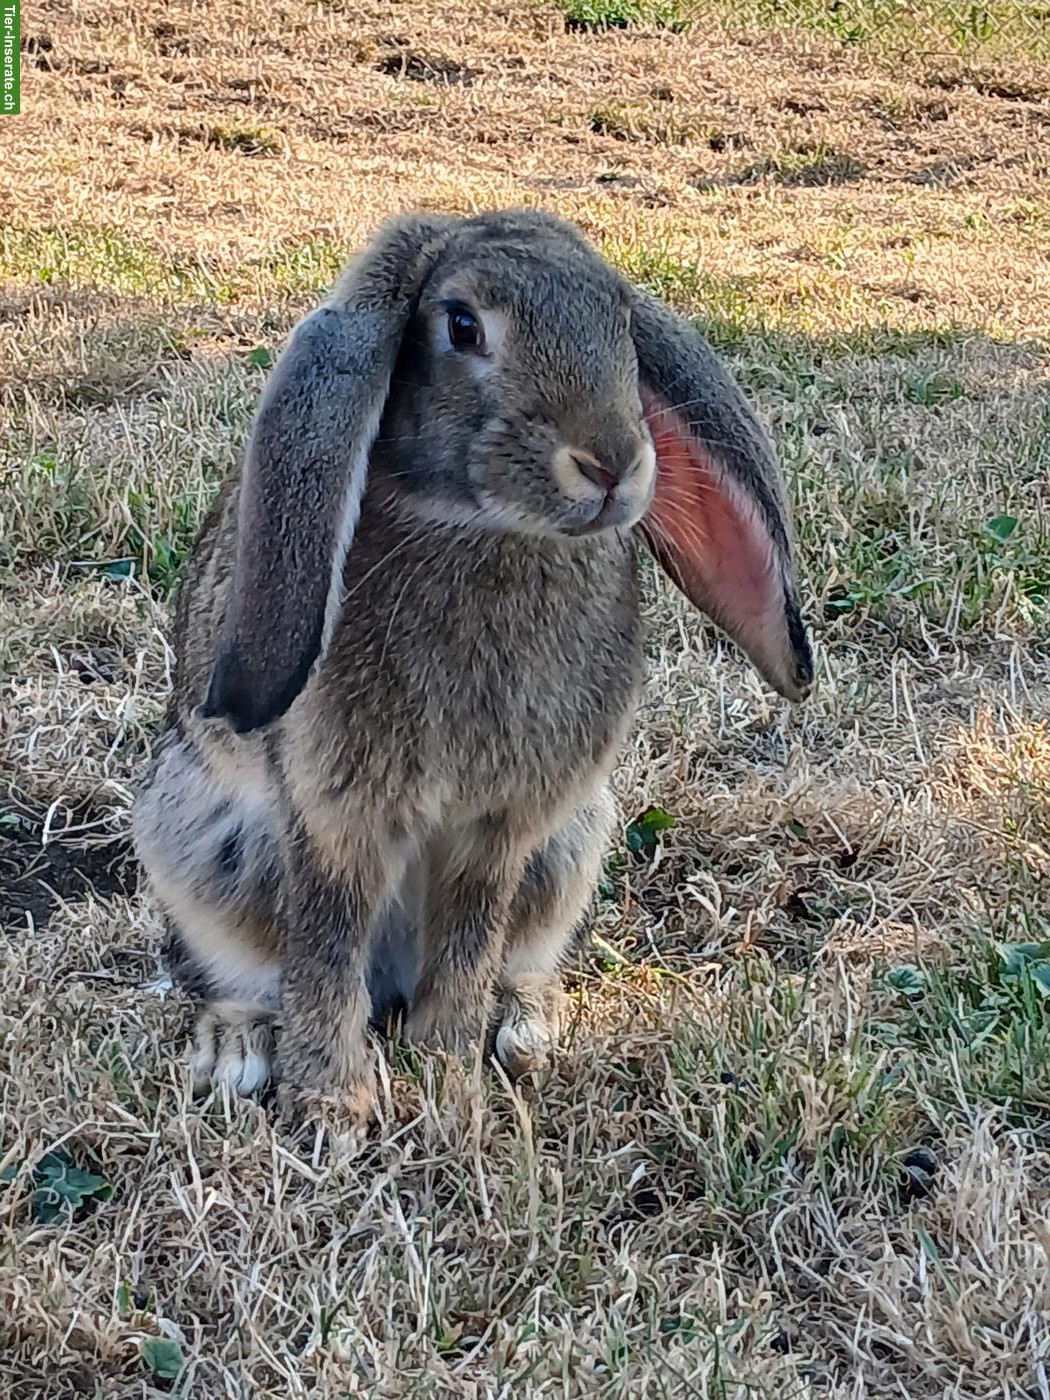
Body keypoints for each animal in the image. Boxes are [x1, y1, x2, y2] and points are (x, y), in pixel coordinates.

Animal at [133, 208, 812, 1145]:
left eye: (623, 325)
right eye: (461, 326)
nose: (610, 463)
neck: (483, 529)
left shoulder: (504, 825)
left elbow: (467, 942)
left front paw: (449, 1080)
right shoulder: (336, 812)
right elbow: (327, 948)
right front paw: (331, 1111)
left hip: (570, 846)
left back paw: (524, 1029)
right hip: (199, 848)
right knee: (249, 967)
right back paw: (238, 1049)